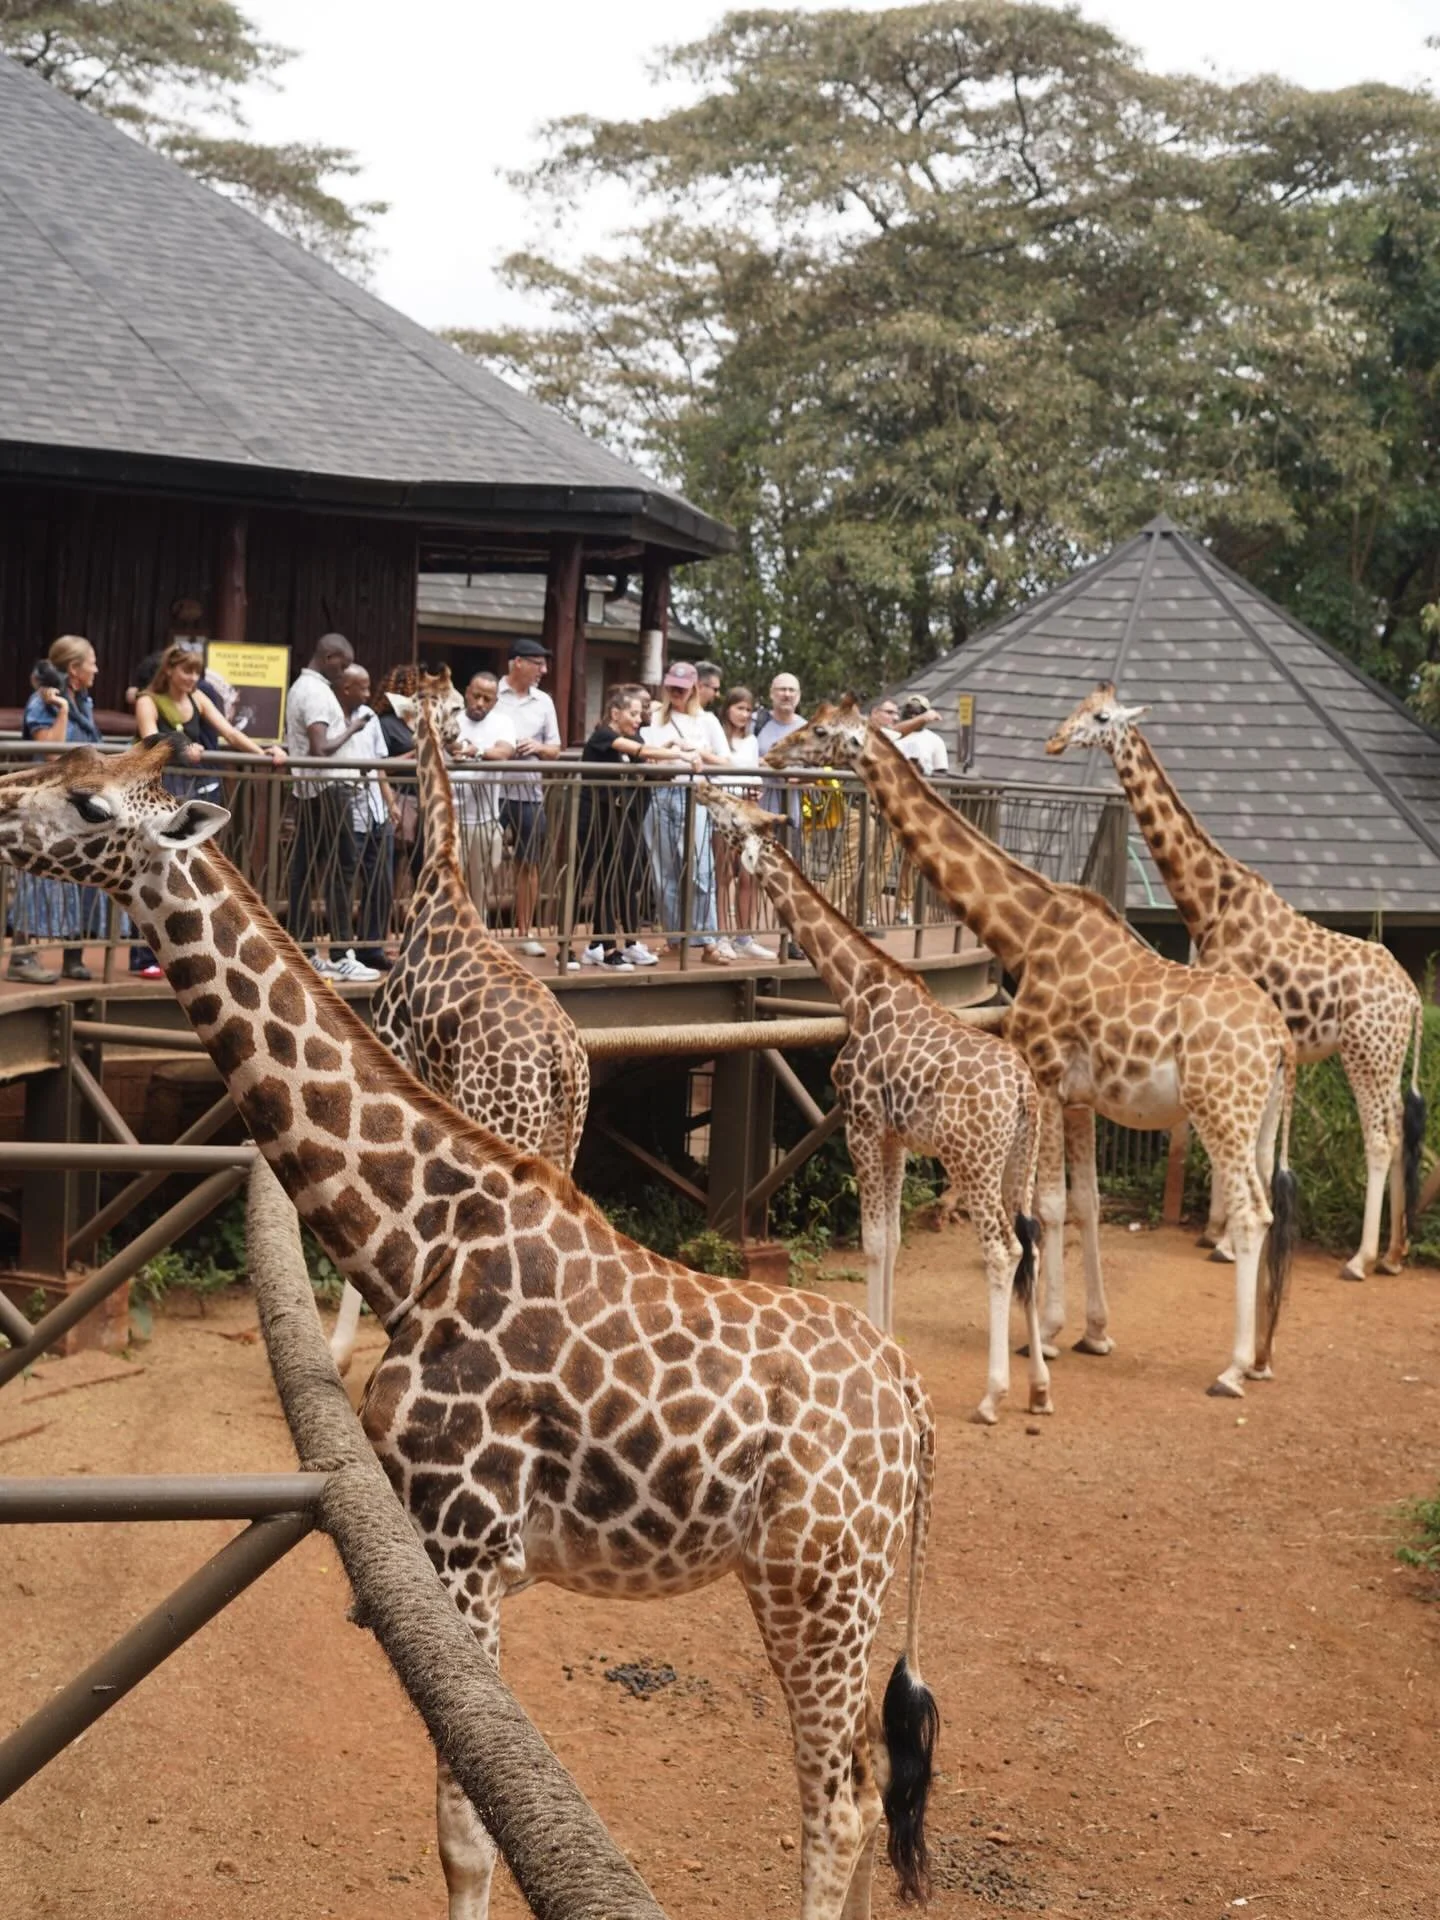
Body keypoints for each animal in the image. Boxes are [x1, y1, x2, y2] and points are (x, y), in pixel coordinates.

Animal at [0, 740, 939, 1920]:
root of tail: (912, 1402)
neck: (418, 1246)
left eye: (87, 801)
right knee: (868, 1779)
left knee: (838, 1805)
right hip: (841, 1588)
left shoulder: (467, 1550)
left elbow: (465, 1835)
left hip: (817, 1582)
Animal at [329, 668, 591, 1372]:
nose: (464, 735)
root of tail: (560, 1061)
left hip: (505, 1128)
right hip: (563, 1141)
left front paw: (340, 1350)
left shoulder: (397, 1052)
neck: (440, 873)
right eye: (454, 705)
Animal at [697, 782, 1049, 1425]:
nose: (707, 791)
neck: (854, 988)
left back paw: (993, 1395)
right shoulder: (894, 1136)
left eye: (734, 814)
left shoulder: (860, 1124)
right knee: (1033, 1243)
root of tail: (1022, 1090)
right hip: (1021, 1161)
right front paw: (888, 1344)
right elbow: (893, 1239)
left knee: (1003, 1249)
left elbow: (873, 1240)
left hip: (973, 1161)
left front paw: (880, 1343)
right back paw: (1039, 1387)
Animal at [766, 698, 1300, 1400]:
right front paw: (1093, 1332)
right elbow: (1085, 1204)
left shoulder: (1043, 1076)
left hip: (1220, 1112)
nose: (776, 753)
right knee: (1268, 1206)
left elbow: (1044, 1208)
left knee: (1251, 1214)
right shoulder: (1079, 1098)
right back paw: (1263, 1354)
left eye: (823, 730)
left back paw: (1233, 1368)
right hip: (1260, 1119)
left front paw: (1043, 1336)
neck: (1025, 930)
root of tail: (1279, 1037)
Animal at [1047, 684, 1426, 1281]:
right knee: (1398, 1129)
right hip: (1385, 1058)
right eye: (1078, 706)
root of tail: (1412, 996)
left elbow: (1240, 1146)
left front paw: (1224, 1237)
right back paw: (1393, 1253)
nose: (1055, 740)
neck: (1210, 904)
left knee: (1381, 1139)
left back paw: (1360, 1258)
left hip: (1365, 1053)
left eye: (1101, 717)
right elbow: (1261, 1148)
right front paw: (1220, 1232)